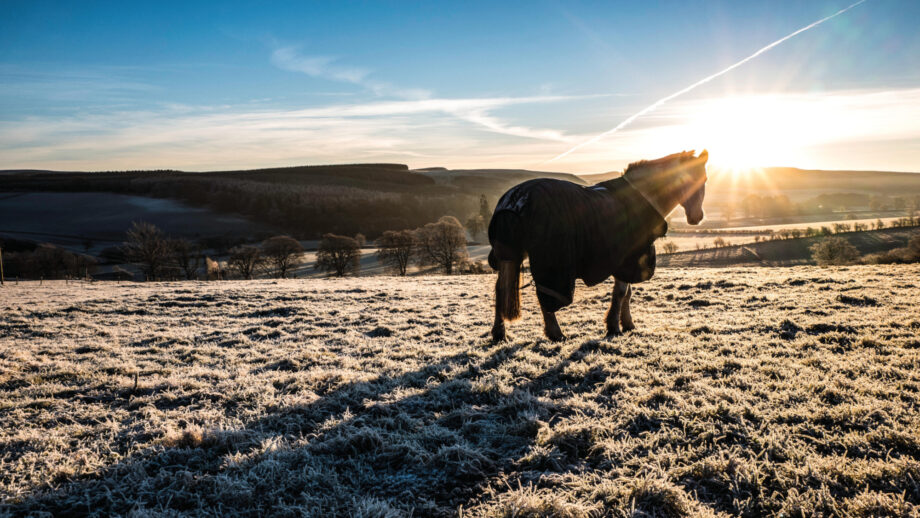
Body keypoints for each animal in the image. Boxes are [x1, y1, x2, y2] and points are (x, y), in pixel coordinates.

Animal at [487, 150, 708, 342]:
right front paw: (614, 327)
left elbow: (627, 293)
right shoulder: (627, 258)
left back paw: (500, 333)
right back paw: (555, 333)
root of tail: (513, 199)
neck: (643, 197)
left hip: (509, 254)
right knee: (544, 295)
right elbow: (621, 293)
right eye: (698, 179)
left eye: (704, 179)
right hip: (551, 260)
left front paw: (627, 324)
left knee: (501, 288)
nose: (697, 217)